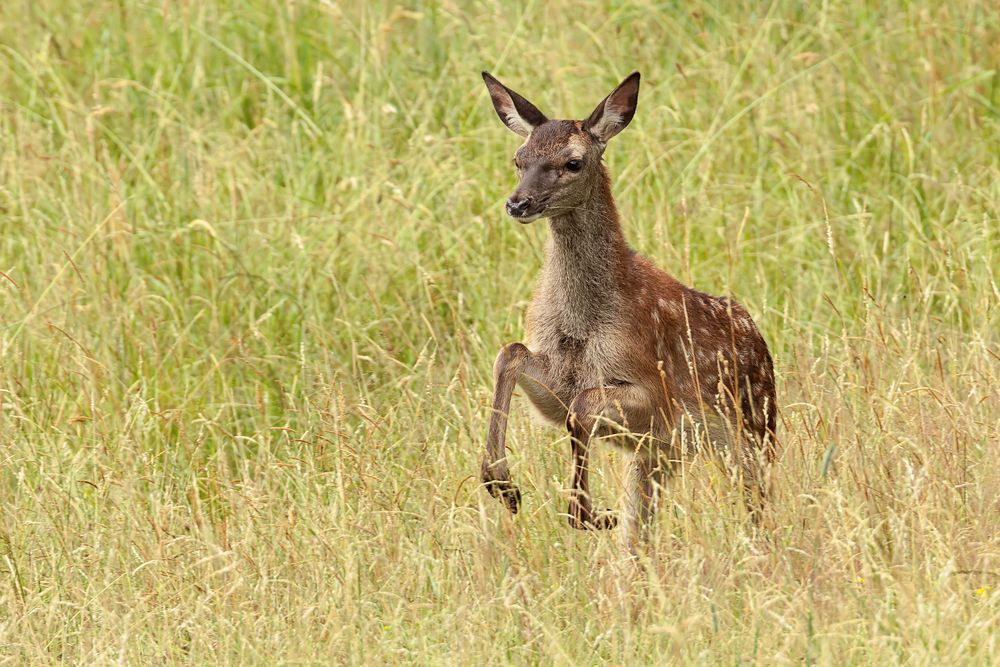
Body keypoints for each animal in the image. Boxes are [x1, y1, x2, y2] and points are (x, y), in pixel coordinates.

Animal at [480, 70, 776, 548]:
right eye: (518, 159)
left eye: (573, 163)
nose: (518, 203)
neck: (583, 322)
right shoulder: (559, 387)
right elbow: (511, 353)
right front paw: (502, 485)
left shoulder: (656, 395)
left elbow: (583, 405)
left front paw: (589, 513)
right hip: (659, 458)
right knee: (643, 530)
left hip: (754, 436)